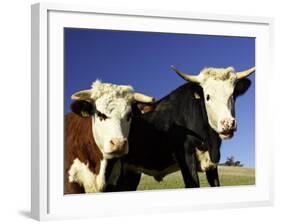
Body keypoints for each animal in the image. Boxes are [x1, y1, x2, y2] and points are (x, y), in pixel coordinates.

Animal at [112, 66, 254, 189]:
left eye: (233, 95)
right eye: (207, 96)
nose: (228, 124)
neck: (209, 141)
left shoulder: (212, 164)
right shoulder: (186, 156)